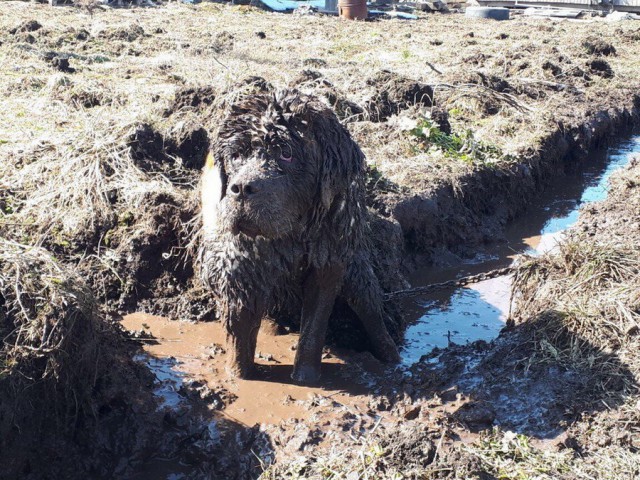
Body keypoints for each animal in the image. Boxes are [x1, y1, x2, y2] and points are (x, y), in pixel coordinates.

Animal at [200, 89, 400, 382]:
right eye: (236, 155)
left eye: (286, 153)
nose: (242, 188)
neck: (290, 235)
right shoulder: (238, 267)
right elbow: (240, 329)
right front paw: (238, 376)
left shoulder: (328, 261)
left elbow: (314, 326)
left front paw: (305, 377)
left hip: (355, 268)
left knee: (368, 305)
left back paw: (391, 355)